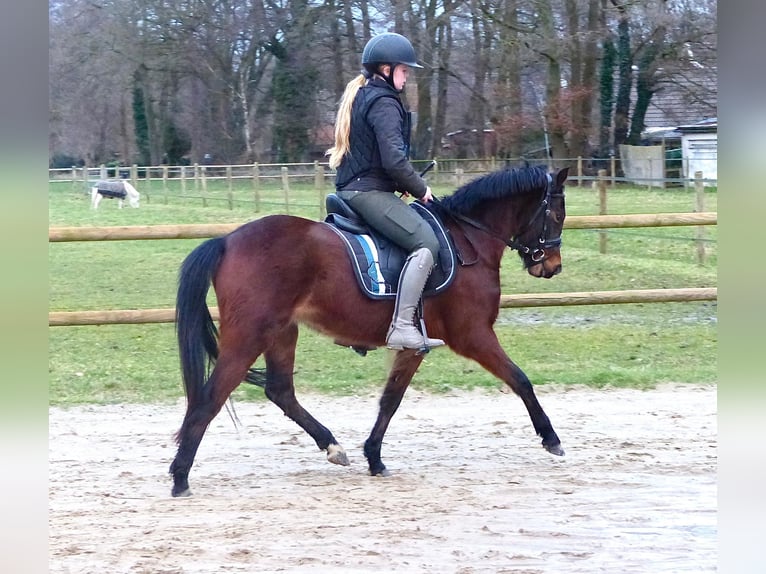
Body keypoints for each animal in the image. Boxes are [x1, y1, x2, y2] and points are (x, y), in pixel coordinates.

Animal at [172, 164, 568, 498]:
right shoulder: (473, 335)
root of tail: (226, 241)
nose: (552, 266)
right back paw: (180, 476)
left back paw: (333, 446)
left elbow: (391, 400)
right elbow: (520, 379)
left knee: (280, 390)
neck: (468, 238)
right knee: (211, 397)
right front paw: (550, 437)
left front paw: (374, 457)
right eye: (557, 214)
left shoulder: (414, 344)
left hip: (281, 332)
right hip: (248, 337)